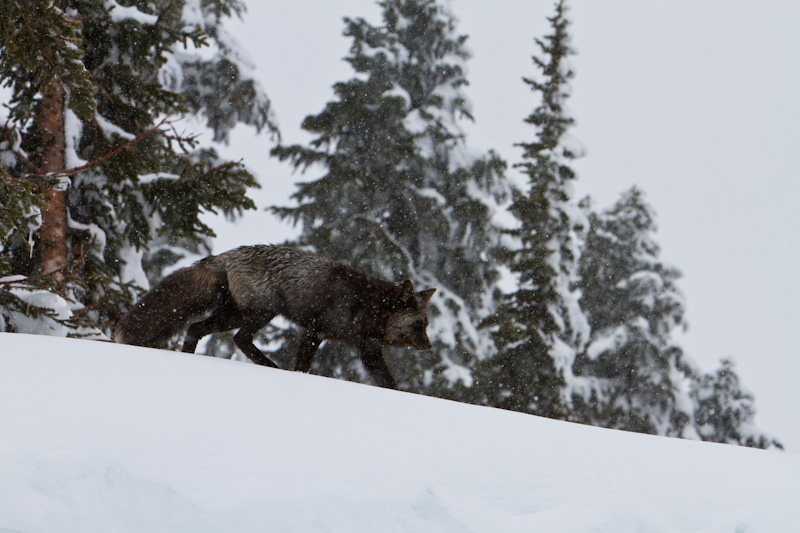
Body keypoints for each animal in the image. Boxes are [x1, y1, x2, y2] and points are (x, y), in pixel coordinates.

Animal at [115, 244, 434, 386]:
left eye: (426, 325)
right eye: (418, 324)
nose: (430, 347)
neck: (370, 305)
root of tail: (229, 254)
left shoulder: (367, 349)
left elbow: (389, 382)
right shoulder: (315, 332)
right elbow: (302, 366)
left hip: (233, 314)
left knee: (195, 328)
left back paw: (189, 358)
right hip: (258, 314)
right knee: (239, 339)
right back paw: (269, 366)